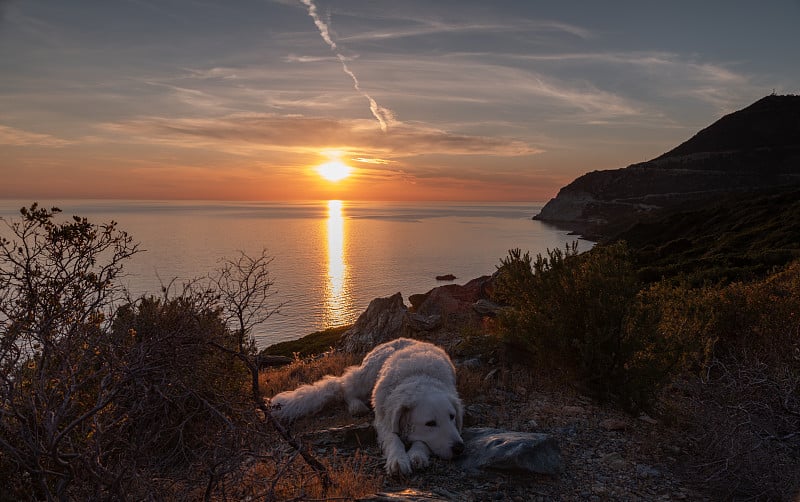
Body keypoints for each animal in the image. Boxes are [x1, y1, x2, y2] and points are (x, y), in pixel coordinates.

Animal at [272, 338, 466, 474]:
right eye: (430, 423)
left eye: (452, 417)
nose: (459, 448)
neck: (418, 376)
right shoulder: (384, 418)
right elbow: (393, 438)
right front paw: (398, 460)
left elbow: (421, 442)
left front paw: (417, 455)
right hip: (367, 377)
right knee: (345, 386)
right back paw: (356, 406)